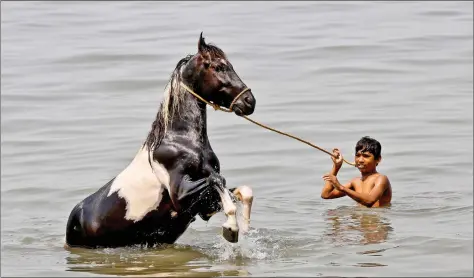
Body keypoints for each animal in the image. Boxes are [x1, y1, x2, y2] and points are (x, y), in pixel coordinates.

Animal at [65, 33, 258, 249]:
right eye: (219, 67)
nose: (249, 101)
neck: (181, 141)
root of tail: (76, 215)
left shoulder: (203, 206)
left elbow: (242, 190)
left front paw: (243, 227)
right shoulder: (181, 196)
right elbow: (217, 179)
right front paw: (231, 228)